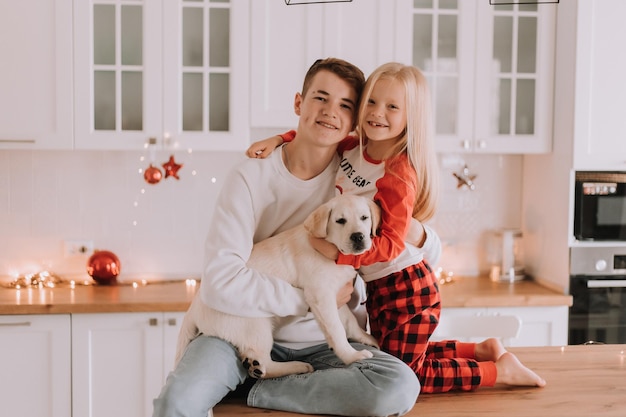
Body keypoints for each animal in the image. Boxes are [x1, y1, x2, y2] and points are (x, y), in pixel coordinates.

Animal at [176, 193, 380, 378]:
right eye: (340, 221)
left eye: (364, 217)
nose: (358, 237)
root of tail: (193, 308)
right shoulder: (320, 295)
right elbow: (337, 330)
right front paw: (352, 356)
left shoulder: (336, 296)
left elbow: (349, 320)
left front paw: (365, 337)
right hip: (256, 324)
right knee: (266, 364)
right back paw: (297, 366)